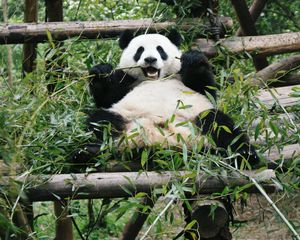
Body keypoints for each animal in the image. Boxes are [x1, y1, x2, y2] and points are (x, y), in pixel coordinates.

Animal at [74, 30, 258, 168]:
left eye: (160, 50)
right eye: (140, 50)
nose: (150, 59)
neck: (156, 79)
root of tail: (163, 141)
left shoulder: (183, 78)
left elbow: (207, 89)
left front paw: (193, 58)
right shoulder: (126, 81)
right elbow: (106, 98)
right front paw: (100, 71)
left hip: (196, 121)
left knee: (218, 123)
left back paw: (245, 155)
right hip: (125, 120)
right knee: (102, 120)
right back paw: (88, 152)